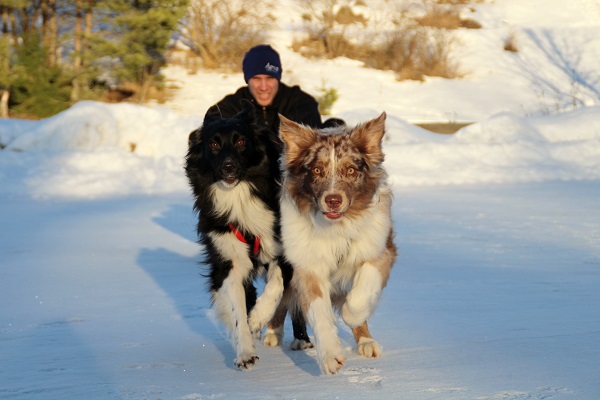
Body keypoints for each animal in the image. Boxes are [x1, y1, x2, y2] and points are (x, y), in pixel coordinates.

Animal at [185, 108, 310, 370]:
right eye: (214, 144)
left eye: (241, 141)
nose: (228, 168)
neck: (239, 196)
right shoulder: (228, 261)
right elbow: (237, 310)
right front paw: (245, 352)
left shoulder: (283, 251)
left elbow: (276, 286)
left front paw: (258, 318)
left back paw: (301, 340)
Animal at [276, 112, 397, 375]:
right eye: (317, 170)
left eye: (351, 170)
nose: (333, 200)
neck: (337, 228)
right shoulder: (308, 266)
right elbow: (319, 313)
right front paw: (330, 356)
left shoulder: (380, 250)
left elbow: (362, 291)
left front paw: (351, 315)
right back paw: (268, 329)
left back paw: (366, 341)